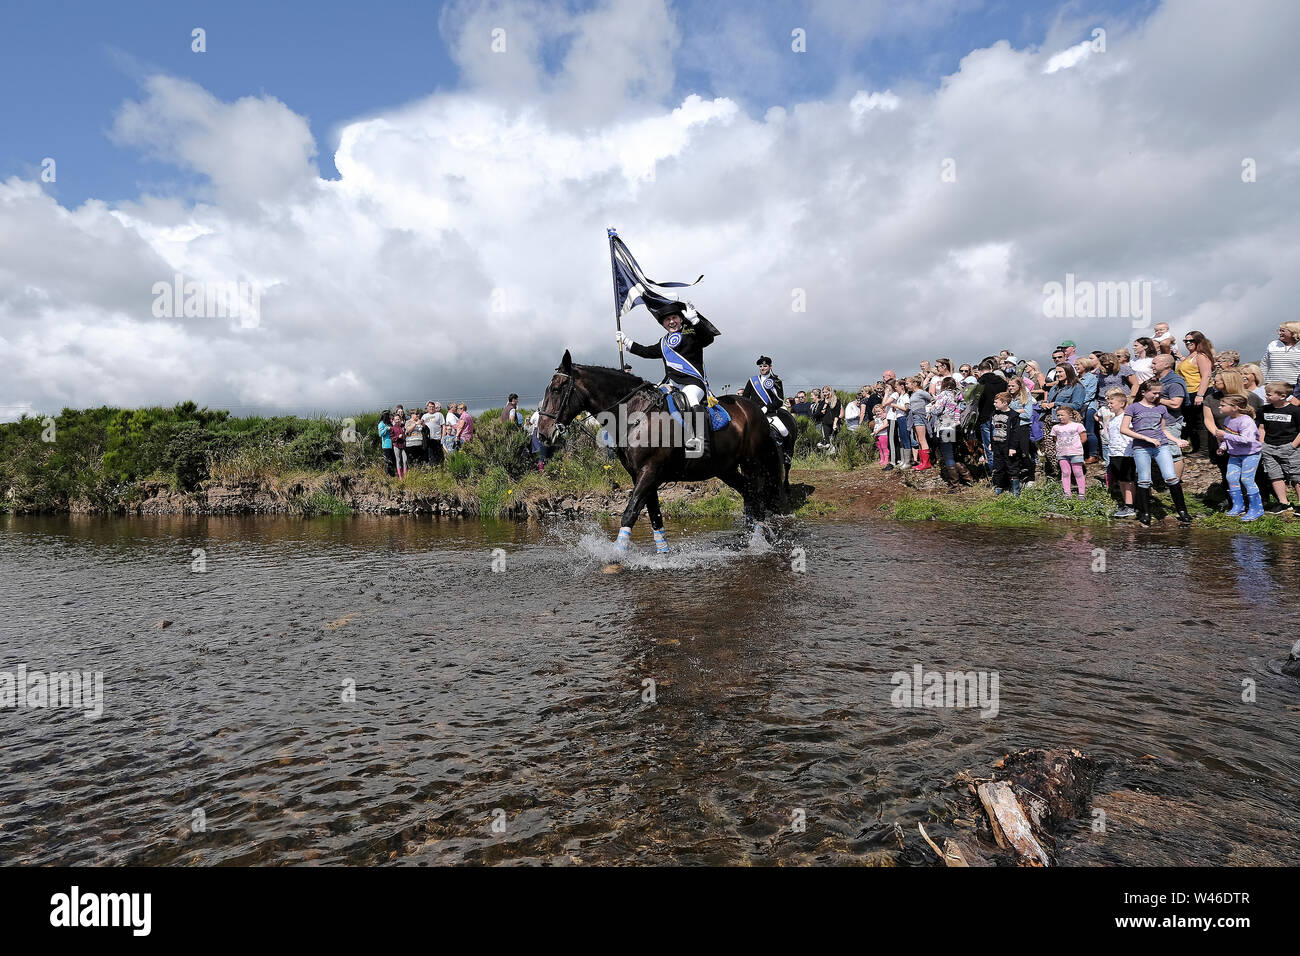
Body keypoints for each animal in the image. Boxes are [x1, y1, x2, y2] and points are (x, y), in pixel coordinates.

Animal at [535, 351, 780, 554]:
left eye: (556, 390)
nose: (542, 434)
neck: (635, 414)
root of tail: (755, 409)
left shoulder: (650, 471)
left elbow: (630, 512)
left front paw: (616, 556)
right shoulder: (642, 475)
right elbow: (654, 515)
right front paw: (663, 552)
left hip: (753, 463)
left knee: (758, 495)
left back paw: (759, 538)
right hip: (726, 469)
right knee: (748, 493)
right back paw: (750, 537)